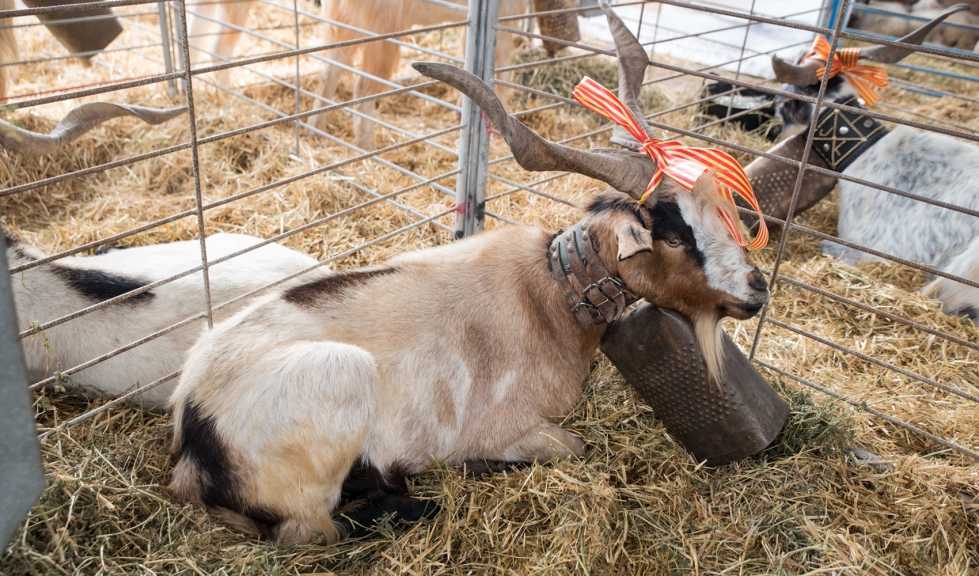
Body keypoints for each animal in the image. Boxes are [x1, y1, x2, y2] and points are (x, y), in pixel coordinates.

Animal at [168, 2, 772, 544]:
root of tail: (193, 437)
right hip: (339, 384)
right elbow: (575, 447)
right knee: (313, 530)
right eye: (673, 236)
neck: (550, 296)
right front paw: (476, 465)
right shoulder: (511, 427)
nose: (757, 288)